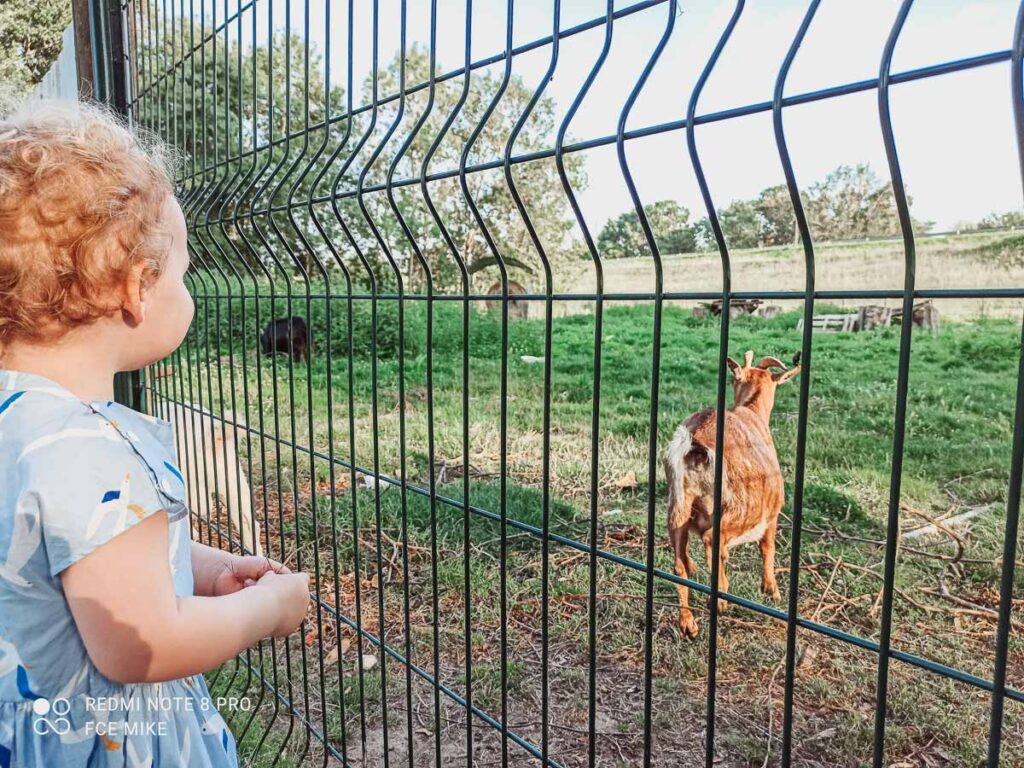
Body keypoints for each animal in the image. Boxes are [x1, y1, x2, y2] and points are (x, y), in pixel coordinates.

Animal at [663, 352, 798, 638]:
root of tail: (695, 445)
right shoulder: (772, 512)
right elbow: (767, 547)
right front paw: (772, 590)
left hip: (678, 503)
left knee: (679, 563)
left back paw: (688, 623)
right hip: (739, 507)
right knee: (712, 540)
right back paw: (720, 597)